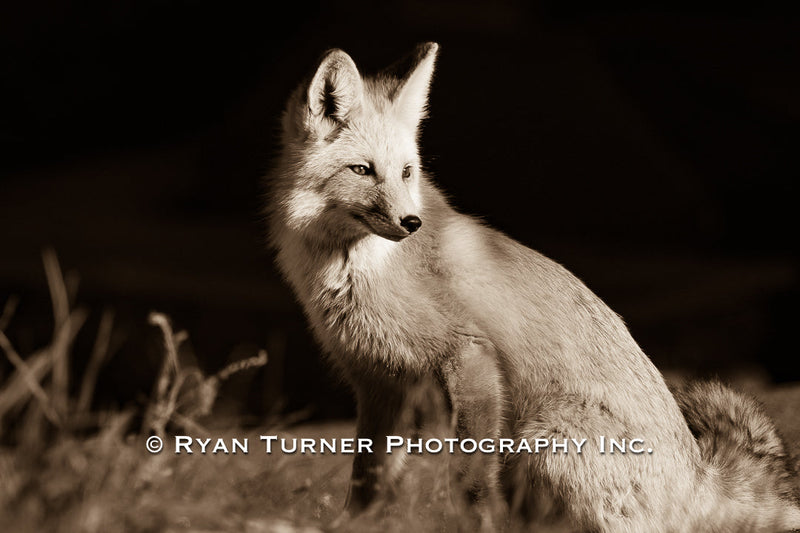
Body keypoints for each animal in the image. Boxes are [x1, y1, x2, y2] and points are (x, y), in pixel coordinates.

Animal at [268, 42, 800, 532]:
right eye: (362, 170)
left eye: (406, 171)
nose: (411, 222)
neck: (354, 270)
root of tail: (698, 476)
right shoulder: (380, 382)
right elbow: (368, 480)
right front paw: (351, 524)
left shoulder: (469, 356)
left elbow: (468, 479)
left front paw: (476, 525)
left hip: (545, 441)